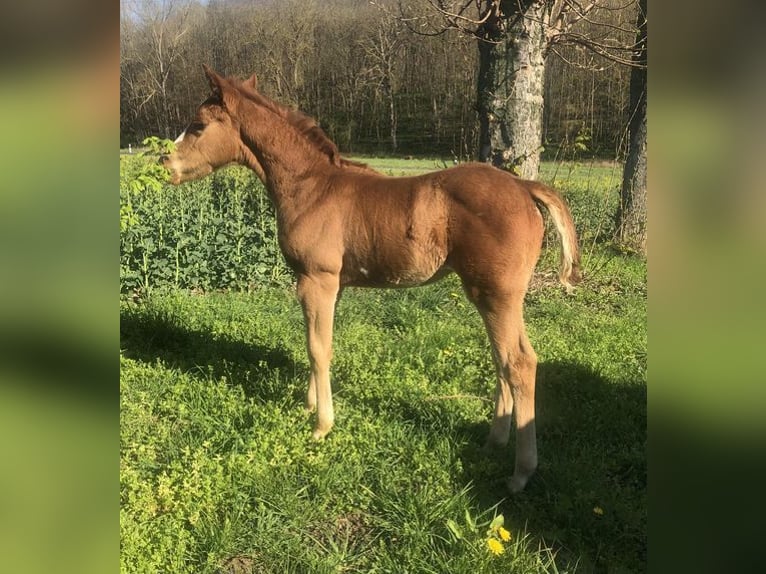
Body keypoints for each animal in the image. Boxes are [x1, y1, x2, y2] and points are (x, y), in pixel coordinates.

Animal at [160, 65, 581, 492]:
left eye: (198, 125)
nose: (165, 165)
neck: (310, 187)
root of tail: (524, 186)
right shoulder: (332, 286)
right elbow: (319, 343)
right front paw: (310, 405)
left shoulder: (316, 280)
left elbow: (317, 348)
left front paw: (321, 426)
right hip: (500, 297)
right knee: (503, 358)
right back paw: (493, 441)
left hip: (496, 294)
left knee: (519, 363)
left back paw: (520, 473)